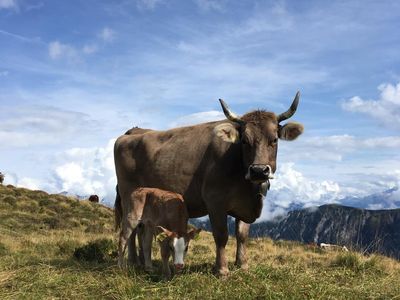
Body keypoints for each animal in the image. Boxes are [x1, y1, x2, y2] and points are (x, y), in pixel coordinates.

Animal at [113, 92, 304, 276]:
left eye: (274, 139)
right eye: (244, 140)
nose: (258, 170)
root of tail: (133, 131)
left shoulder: (244, 205)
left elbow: (242, 235)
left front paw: (243, 265)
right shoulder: (215, 201)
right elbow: (221, 235)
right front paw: (222, 270)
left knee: (141, 231)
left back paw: (142, 263)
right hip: (128, 198)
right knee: (130, 232)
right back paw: (131, 262)